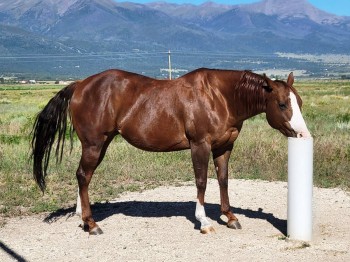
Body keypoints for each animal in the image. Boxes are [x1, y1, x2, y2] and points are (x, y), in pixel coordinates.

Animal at [31, 68, 310, 234]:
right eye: (282, 104)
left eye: (299, 102)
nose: (303, 135)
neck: (220, 97)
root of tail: (80, 85)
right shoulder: (200, 145)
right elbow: (201, 182)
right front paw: (204, 221)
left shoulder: (224, 147)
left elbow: (223, 180)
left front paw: (230, 217)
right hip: (94, 144)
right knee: (82, 175)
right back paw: (91, 224)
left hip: (101, 144)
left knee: (84, 177)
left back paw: (82, 216)